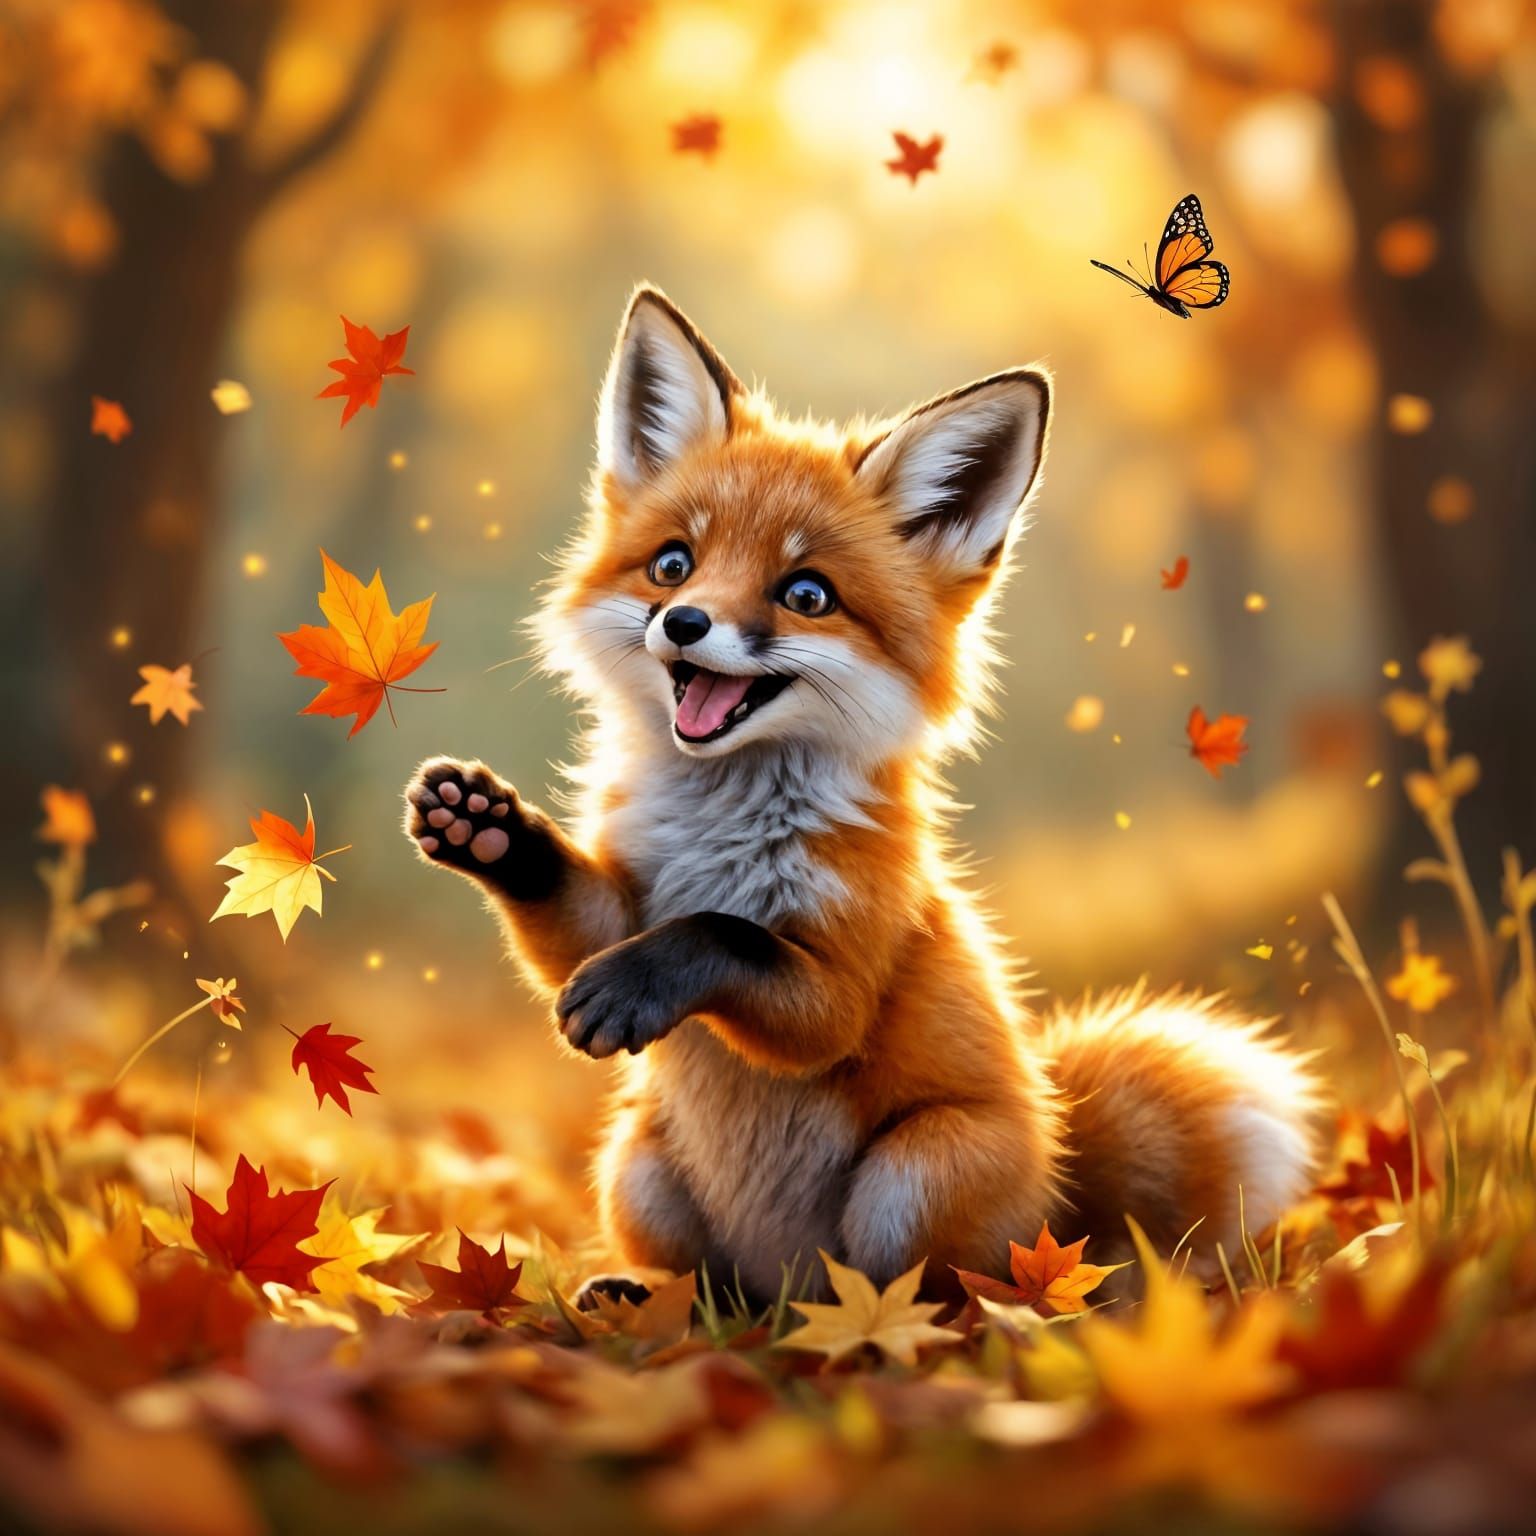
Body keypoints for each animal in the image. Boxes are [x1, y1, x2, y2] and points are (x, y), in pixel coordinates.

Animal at [404, 285, 1319, 1304]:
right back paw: (658, 1302)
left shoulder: (839, 980)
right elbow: (578, 925)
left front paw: (644, 974)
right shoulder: (623, 904)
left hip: (915, 1174)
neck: (718, 833)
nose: (682, 622)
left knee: (940, 1294)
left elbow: (728, 936)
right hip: (635, 1165)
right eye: (674, 564)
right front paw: (485, 828)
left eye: (807, 593)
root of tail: (1058, 1209)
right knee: (718, 1299)